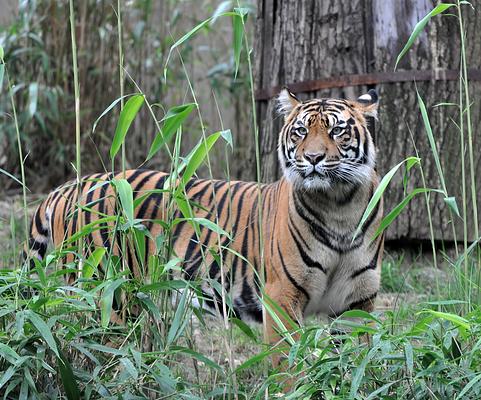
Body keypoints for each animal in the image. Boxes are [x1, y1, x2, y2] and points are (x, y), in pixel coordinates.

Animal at [25, 88, 382, 354]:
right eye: (301, 131)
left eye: (336, 130)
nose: (313, 158)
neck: (339, 207)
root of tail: (69, 186)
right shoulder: (282, 296)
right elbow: (288, 365)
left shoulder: (357, 301)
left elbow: (353, 361)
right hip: (104, 291)